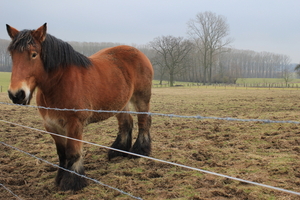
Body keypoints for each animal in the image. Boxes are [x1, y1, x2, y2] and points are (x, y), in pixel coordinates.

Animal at [6, 23, 154, 191]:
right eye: (12, 55)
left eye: (34, 54)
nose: (16, 94)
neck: (59, 84)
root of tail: (139, 53)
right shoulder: (51, 125)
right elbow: (61, 153)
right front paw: (59, 178)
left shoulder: (74, 124)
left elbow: (72, 152)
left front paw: (72, 181)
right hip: (120, 103)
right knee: (126, 123)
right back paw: (118, 151)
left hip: (141, 98)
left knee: (144, 121)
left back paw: (139, 151)